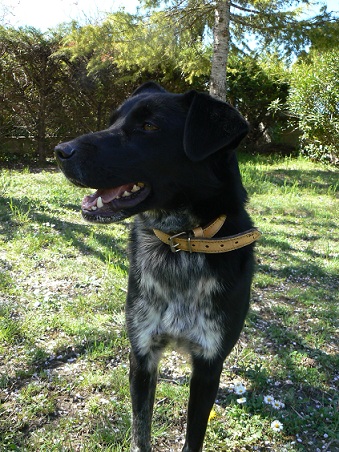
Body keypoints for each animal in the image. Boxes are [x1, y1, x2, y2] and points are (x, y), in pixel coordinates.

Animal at [55, 82, 262, 452]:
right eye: (113, 121)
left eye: (149, 127)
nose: (60, 150)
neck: (180, 242)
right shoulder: (141, 355)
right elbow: (141, 431)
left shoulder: (209, 365)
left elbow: (193, 438)